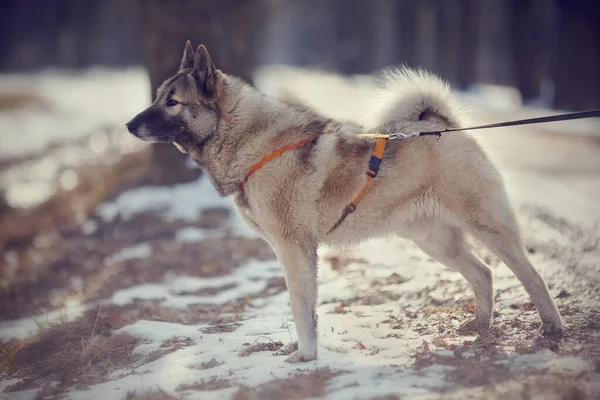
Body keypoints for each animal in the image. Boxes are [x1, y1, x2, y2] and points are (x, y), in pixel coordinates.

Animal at [126, 40, 564, 362]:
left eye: (172, 102)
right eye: (159, 96)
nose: (129, 124)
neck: (255, 145)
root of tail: (443, 126)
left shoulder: (295, 250)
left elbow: (301, 307)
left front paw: (305, 355)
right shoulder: (292, 252)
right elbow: (304, 308)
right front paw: (303, 349)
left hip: (487, 226)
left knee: (531, 275)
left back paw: (552, 328)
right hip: (435, 241)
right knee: (483, 273)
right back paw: (480, 325)